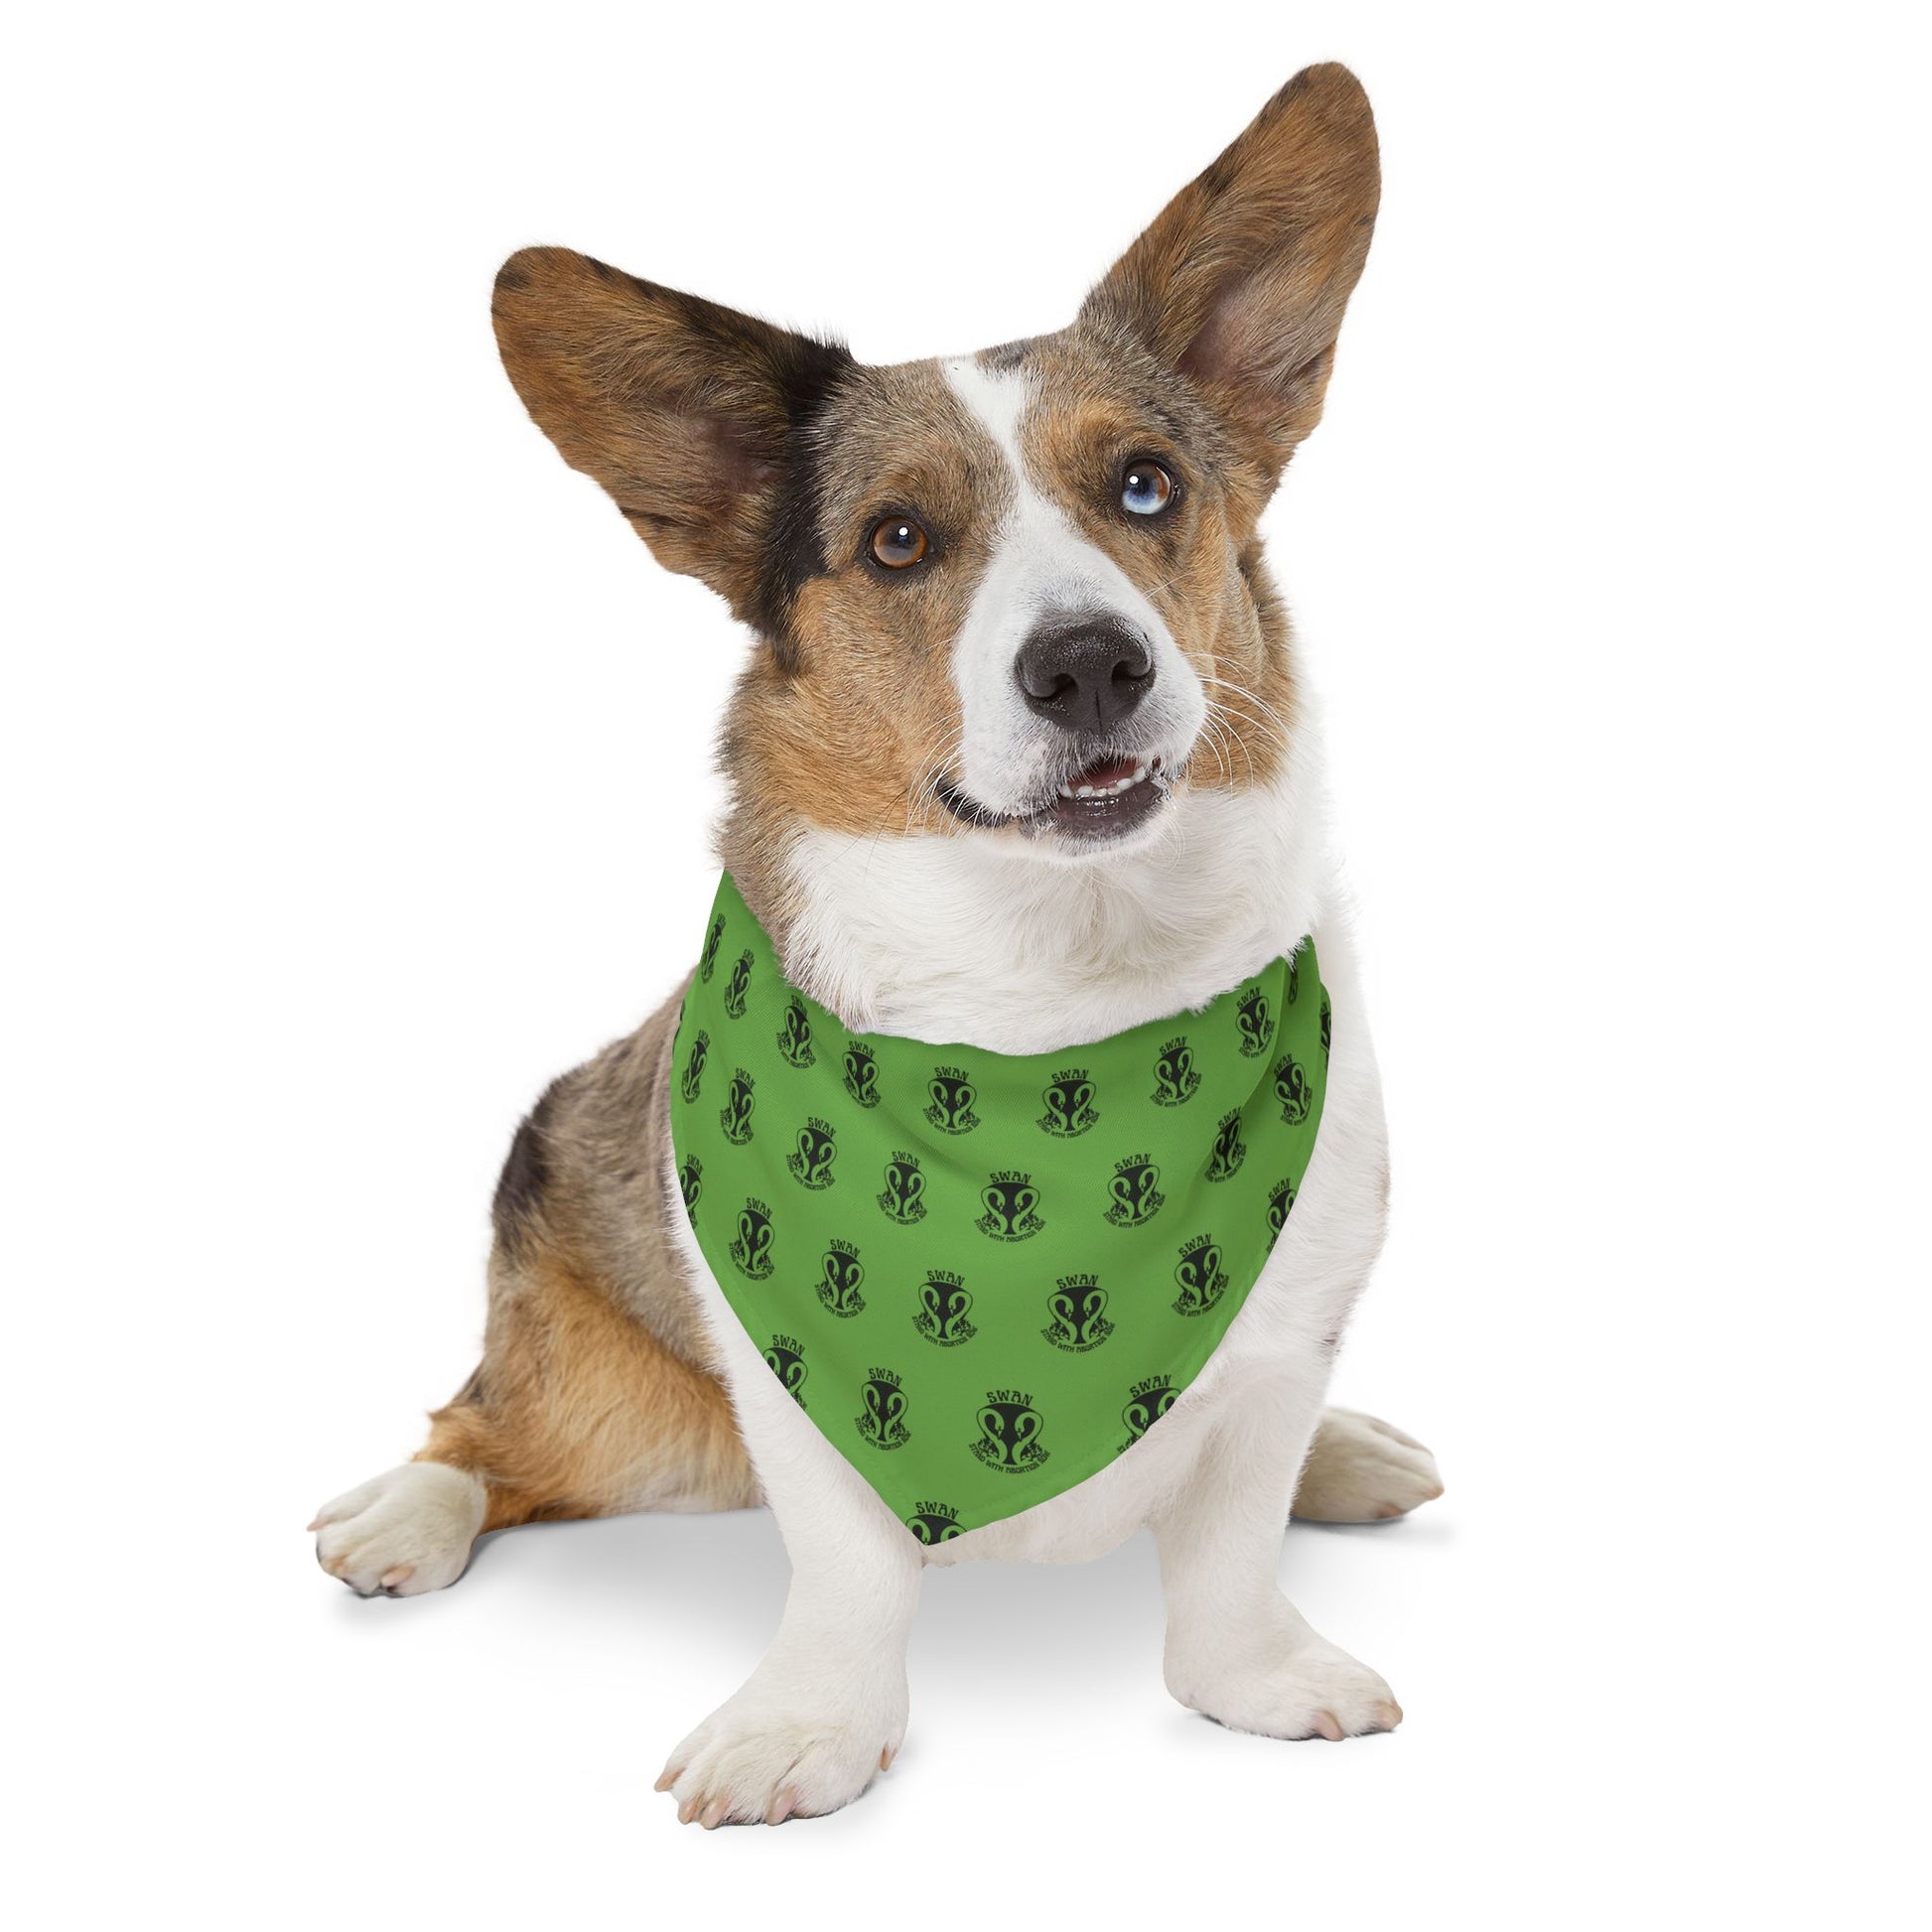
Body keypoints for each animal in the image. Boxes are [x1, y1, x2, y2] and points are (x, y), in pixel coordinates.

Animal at [311, 61, 1442, 1827]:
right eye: (898, 540)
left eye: (1145, 485)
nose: (1090, 666)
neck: (1056, 1007)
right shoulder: (786, 1378)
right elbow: (842, 1567)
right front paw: (806, 1729)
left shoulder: (1283, 1333)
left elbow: (1233, 1534)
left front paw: (1256, 1672)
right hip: (612, 1401)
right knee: (484, 1431)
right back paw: (404, 1513)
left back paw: (1351, 1455)